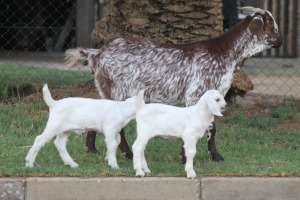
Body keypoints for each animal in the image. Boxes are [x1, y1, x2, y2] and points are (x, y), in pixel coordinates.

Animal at [64, 6, 282, 162]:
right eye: (272, 25)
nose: (280, 40)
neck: (225, 53)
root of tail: (98, 53)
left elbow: (210, 127)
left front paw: (205, 155)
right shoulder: (197, 94)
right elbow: (206, 127)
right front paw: (199, 156)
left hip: (108, 92)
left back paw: (92, 149)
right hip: (120, 93)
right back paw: (127, 154)